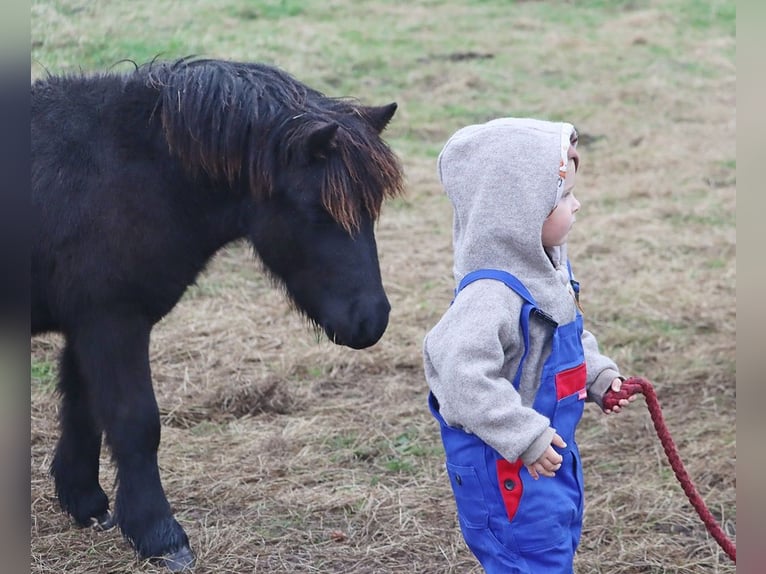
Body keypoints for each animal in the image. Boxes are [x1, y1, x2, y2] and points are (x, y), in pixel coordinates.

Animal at [31, 58, 402, 572]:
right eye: (318, 212)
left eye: (371, 211)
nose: (371, 321)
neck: (126, 176)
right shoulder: (113, 322)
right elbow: (135, 423)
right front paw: (159, 534)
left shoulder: (87, 325)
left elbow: (82, 410)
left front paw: (85, 502)